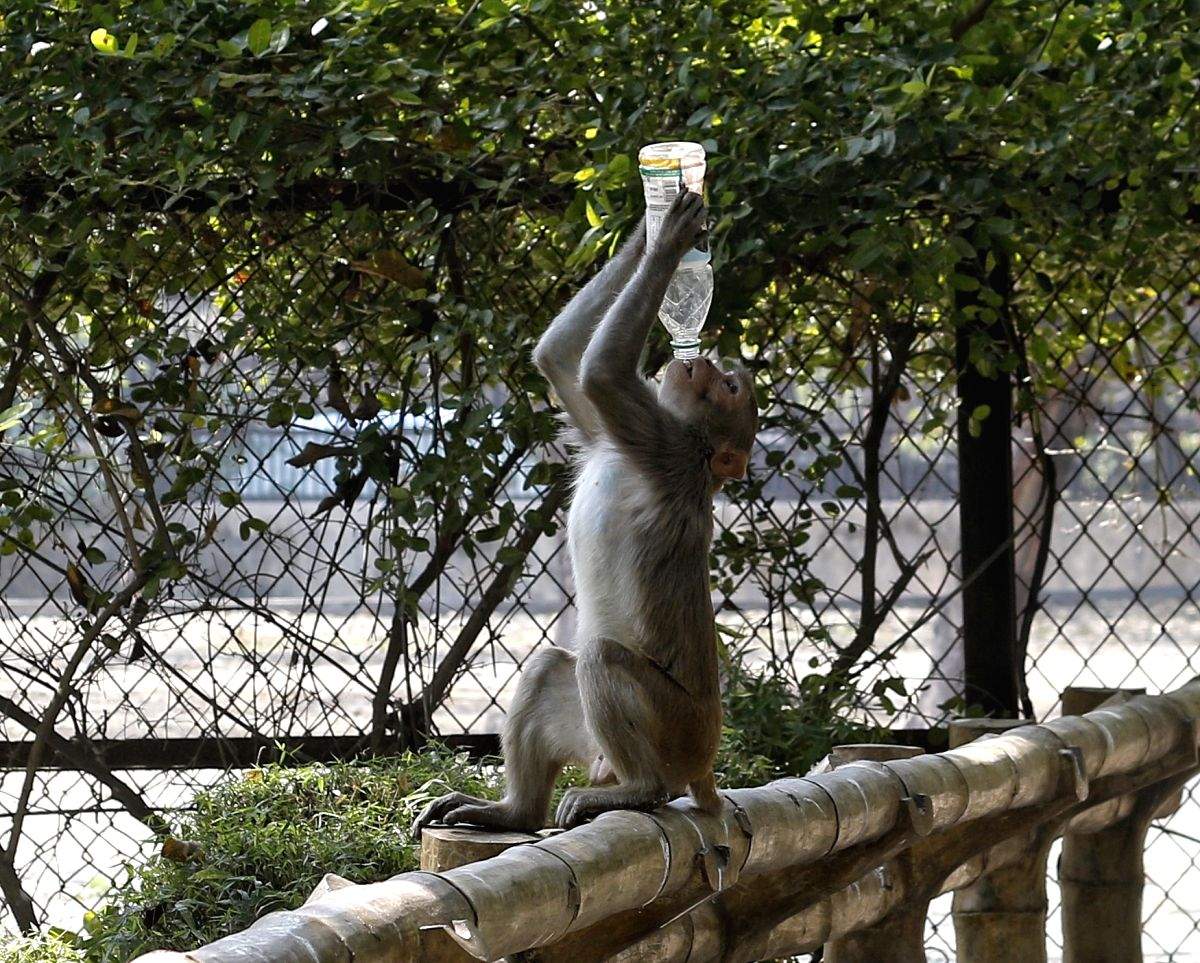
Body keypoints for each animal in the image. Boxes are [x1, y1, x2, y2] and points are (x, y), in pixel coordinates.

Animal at [415, 189, 759, 832]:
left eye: (729, 386)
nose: (701, 363)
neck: (693, 451)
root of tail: (704, 763)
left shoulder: (660, 442)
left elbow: (600, 373)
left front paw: (670, 241)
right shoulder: (614, 435)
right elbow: (560, 359)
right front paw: (649, 227)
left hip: (673, 728)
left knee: (600, 660)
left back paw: (640, 791)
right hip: (594, 738)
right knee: (551, 666)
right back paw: (514, 812)